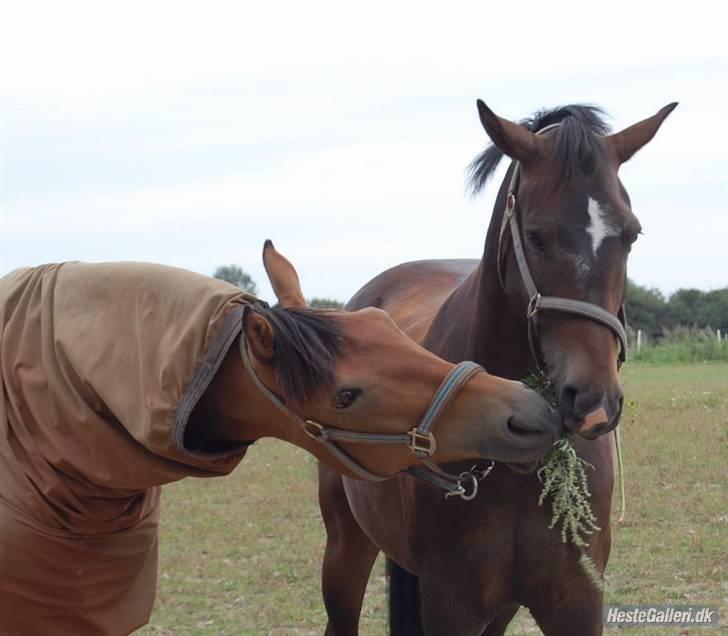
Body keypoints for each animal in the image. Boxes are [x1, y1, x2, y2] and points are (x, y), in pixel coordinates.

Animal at [318, 100, 677, 635]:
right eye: (536, 237)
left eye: (630, 235)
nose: (594, 402)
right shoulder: (451, 604)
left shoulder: (575, 600)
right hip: (346, 548)